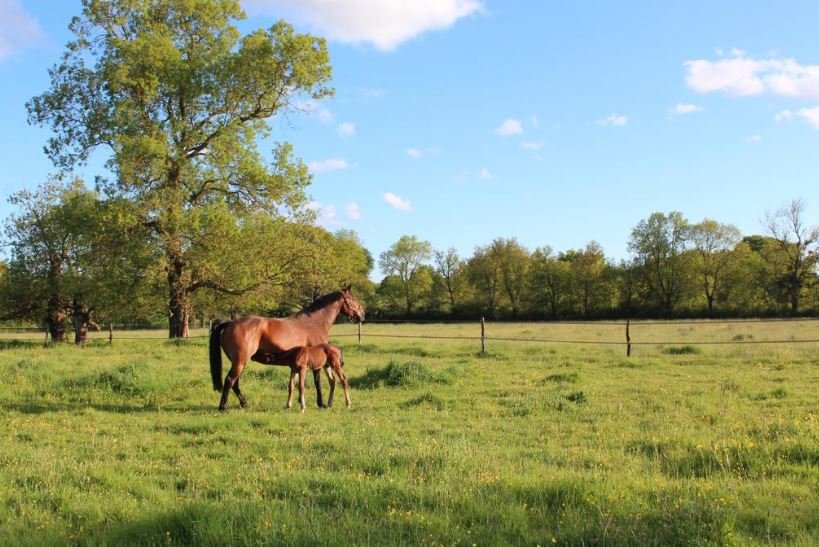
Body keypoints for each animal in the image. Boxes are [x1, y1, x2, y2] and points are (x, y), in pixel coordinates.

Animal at [209, 286, 365, 411]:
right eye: (353, 299)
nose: (362, 314)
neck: (314, 322)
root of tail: (230, 323)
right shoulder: (317, 361)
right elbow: (317, 382)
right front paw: (321, 403)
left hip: (241, 362)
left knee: (235, 383)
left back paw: (244, 403)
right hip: (239, 362)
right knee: (230, 380)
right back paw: (223, 406)